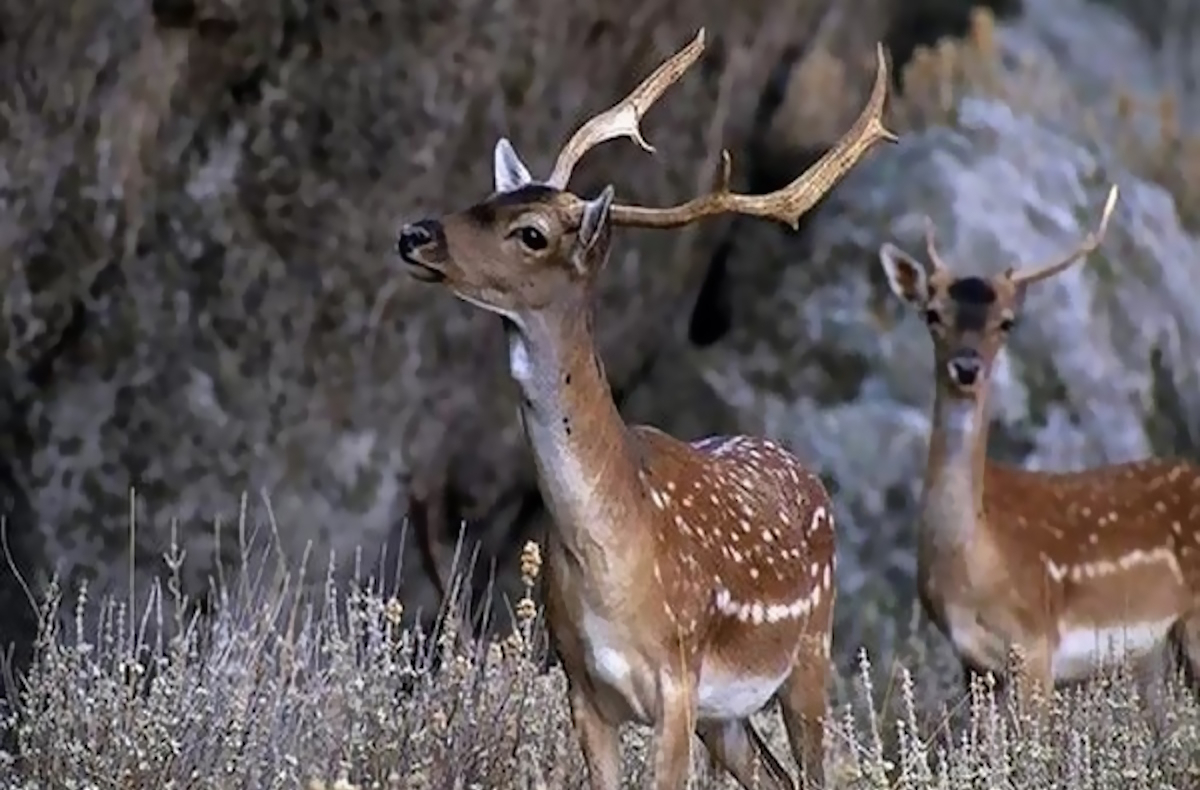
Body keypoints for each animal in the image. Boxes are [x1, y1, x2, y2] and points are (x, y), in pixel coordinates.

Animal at [398, 29, 897, 787]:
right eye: (488, 197)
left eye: (532, 233)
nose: (415, 234)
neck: (609, 558)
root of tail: (801, 467)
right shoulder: (581, 687)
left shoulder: (677, 681)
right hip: (729, 716)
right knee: (771, 776)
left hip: (810, 650)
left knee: (812, 769)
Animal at [873, 184, 1200, 705]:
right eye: (932, 314)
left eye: (1006, 322)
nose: (967, 367)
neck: (973, 563)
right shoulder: (972, 662)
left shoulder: (1036, 646)